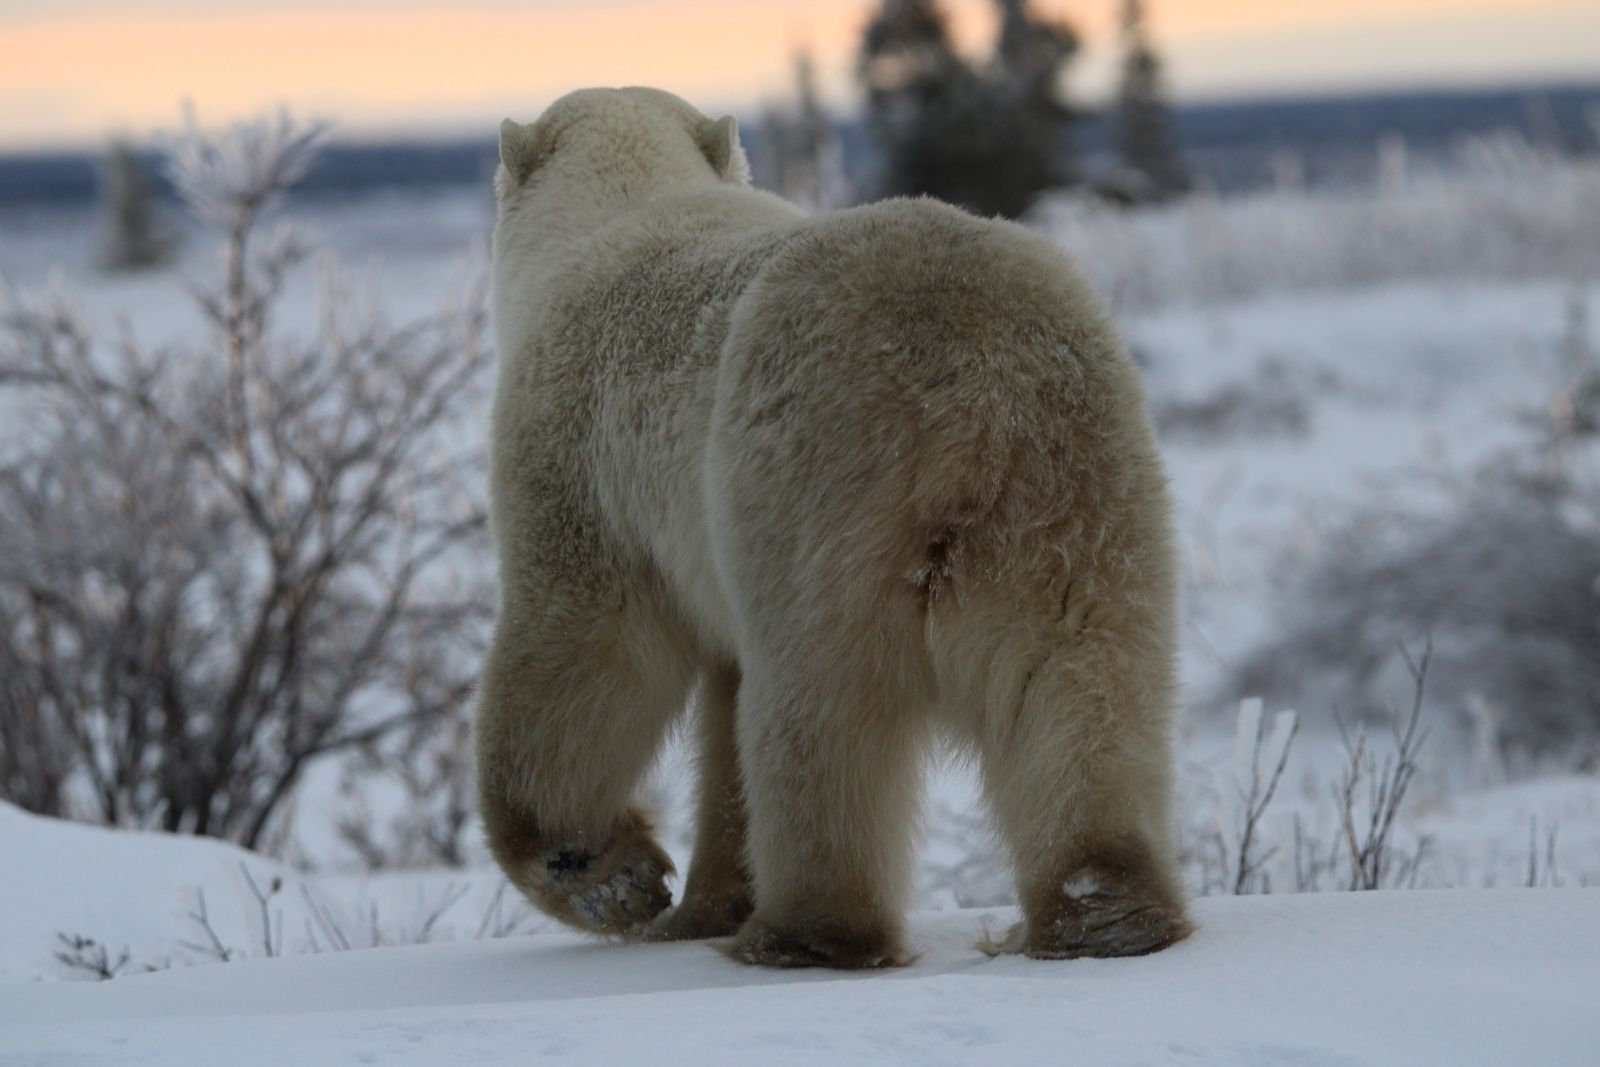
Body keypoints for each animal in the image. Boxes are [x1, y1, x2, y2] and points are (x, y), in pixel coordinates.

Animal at [476, 86, 1190, 968]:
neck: (624, 205)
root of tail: (977, 391)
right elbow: (719, 696)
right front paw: (702, 901)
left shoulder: (575, 450)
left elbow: (580, 642)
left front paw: (615, 877)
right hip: (1078, 488)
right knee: (1082, 671)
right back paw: (1105, 910)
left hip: (814, 486)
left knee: (819, 702)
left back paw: (805, 934)